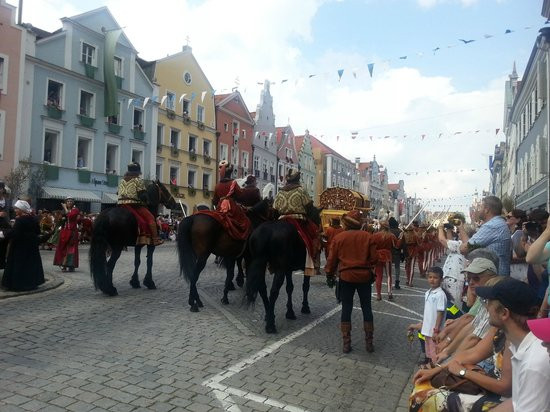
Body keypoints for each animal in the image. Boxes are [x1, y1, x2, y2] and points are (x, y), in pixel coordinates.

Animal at [246, 206, 324, 334]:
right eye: (319, 219)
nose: (321, 232)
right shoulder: (305, 267)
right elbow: (305, 286)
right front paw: (305, 307)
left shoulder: (288, 269)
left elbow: (289, 288)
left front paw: (290, 312)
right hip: (280, 269)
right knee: (273, 291)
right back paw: (270, 325)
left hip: (262, 265)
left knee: (262, 289)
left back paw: (269, 315)